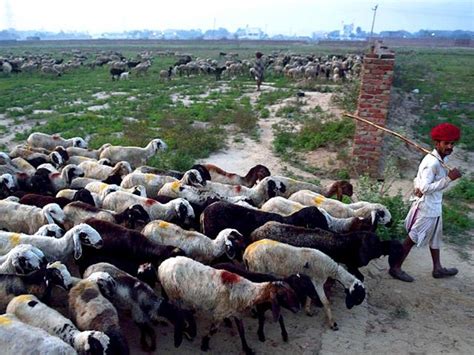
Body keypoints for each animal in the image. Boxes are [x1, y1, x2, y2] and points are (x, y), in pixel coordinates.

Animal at [158, 258, 300, 354]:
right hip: (173, 294)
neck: (245, 291)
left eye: (293, 292)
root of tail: (162, 264)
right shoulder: (219, 313)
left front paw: (247, 349)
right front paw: (204, 344)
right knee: (178, 314)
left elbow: (242, 331)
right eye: (283, 296)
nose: (298, 308)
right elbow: (213, 330)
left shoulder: (236, 313)